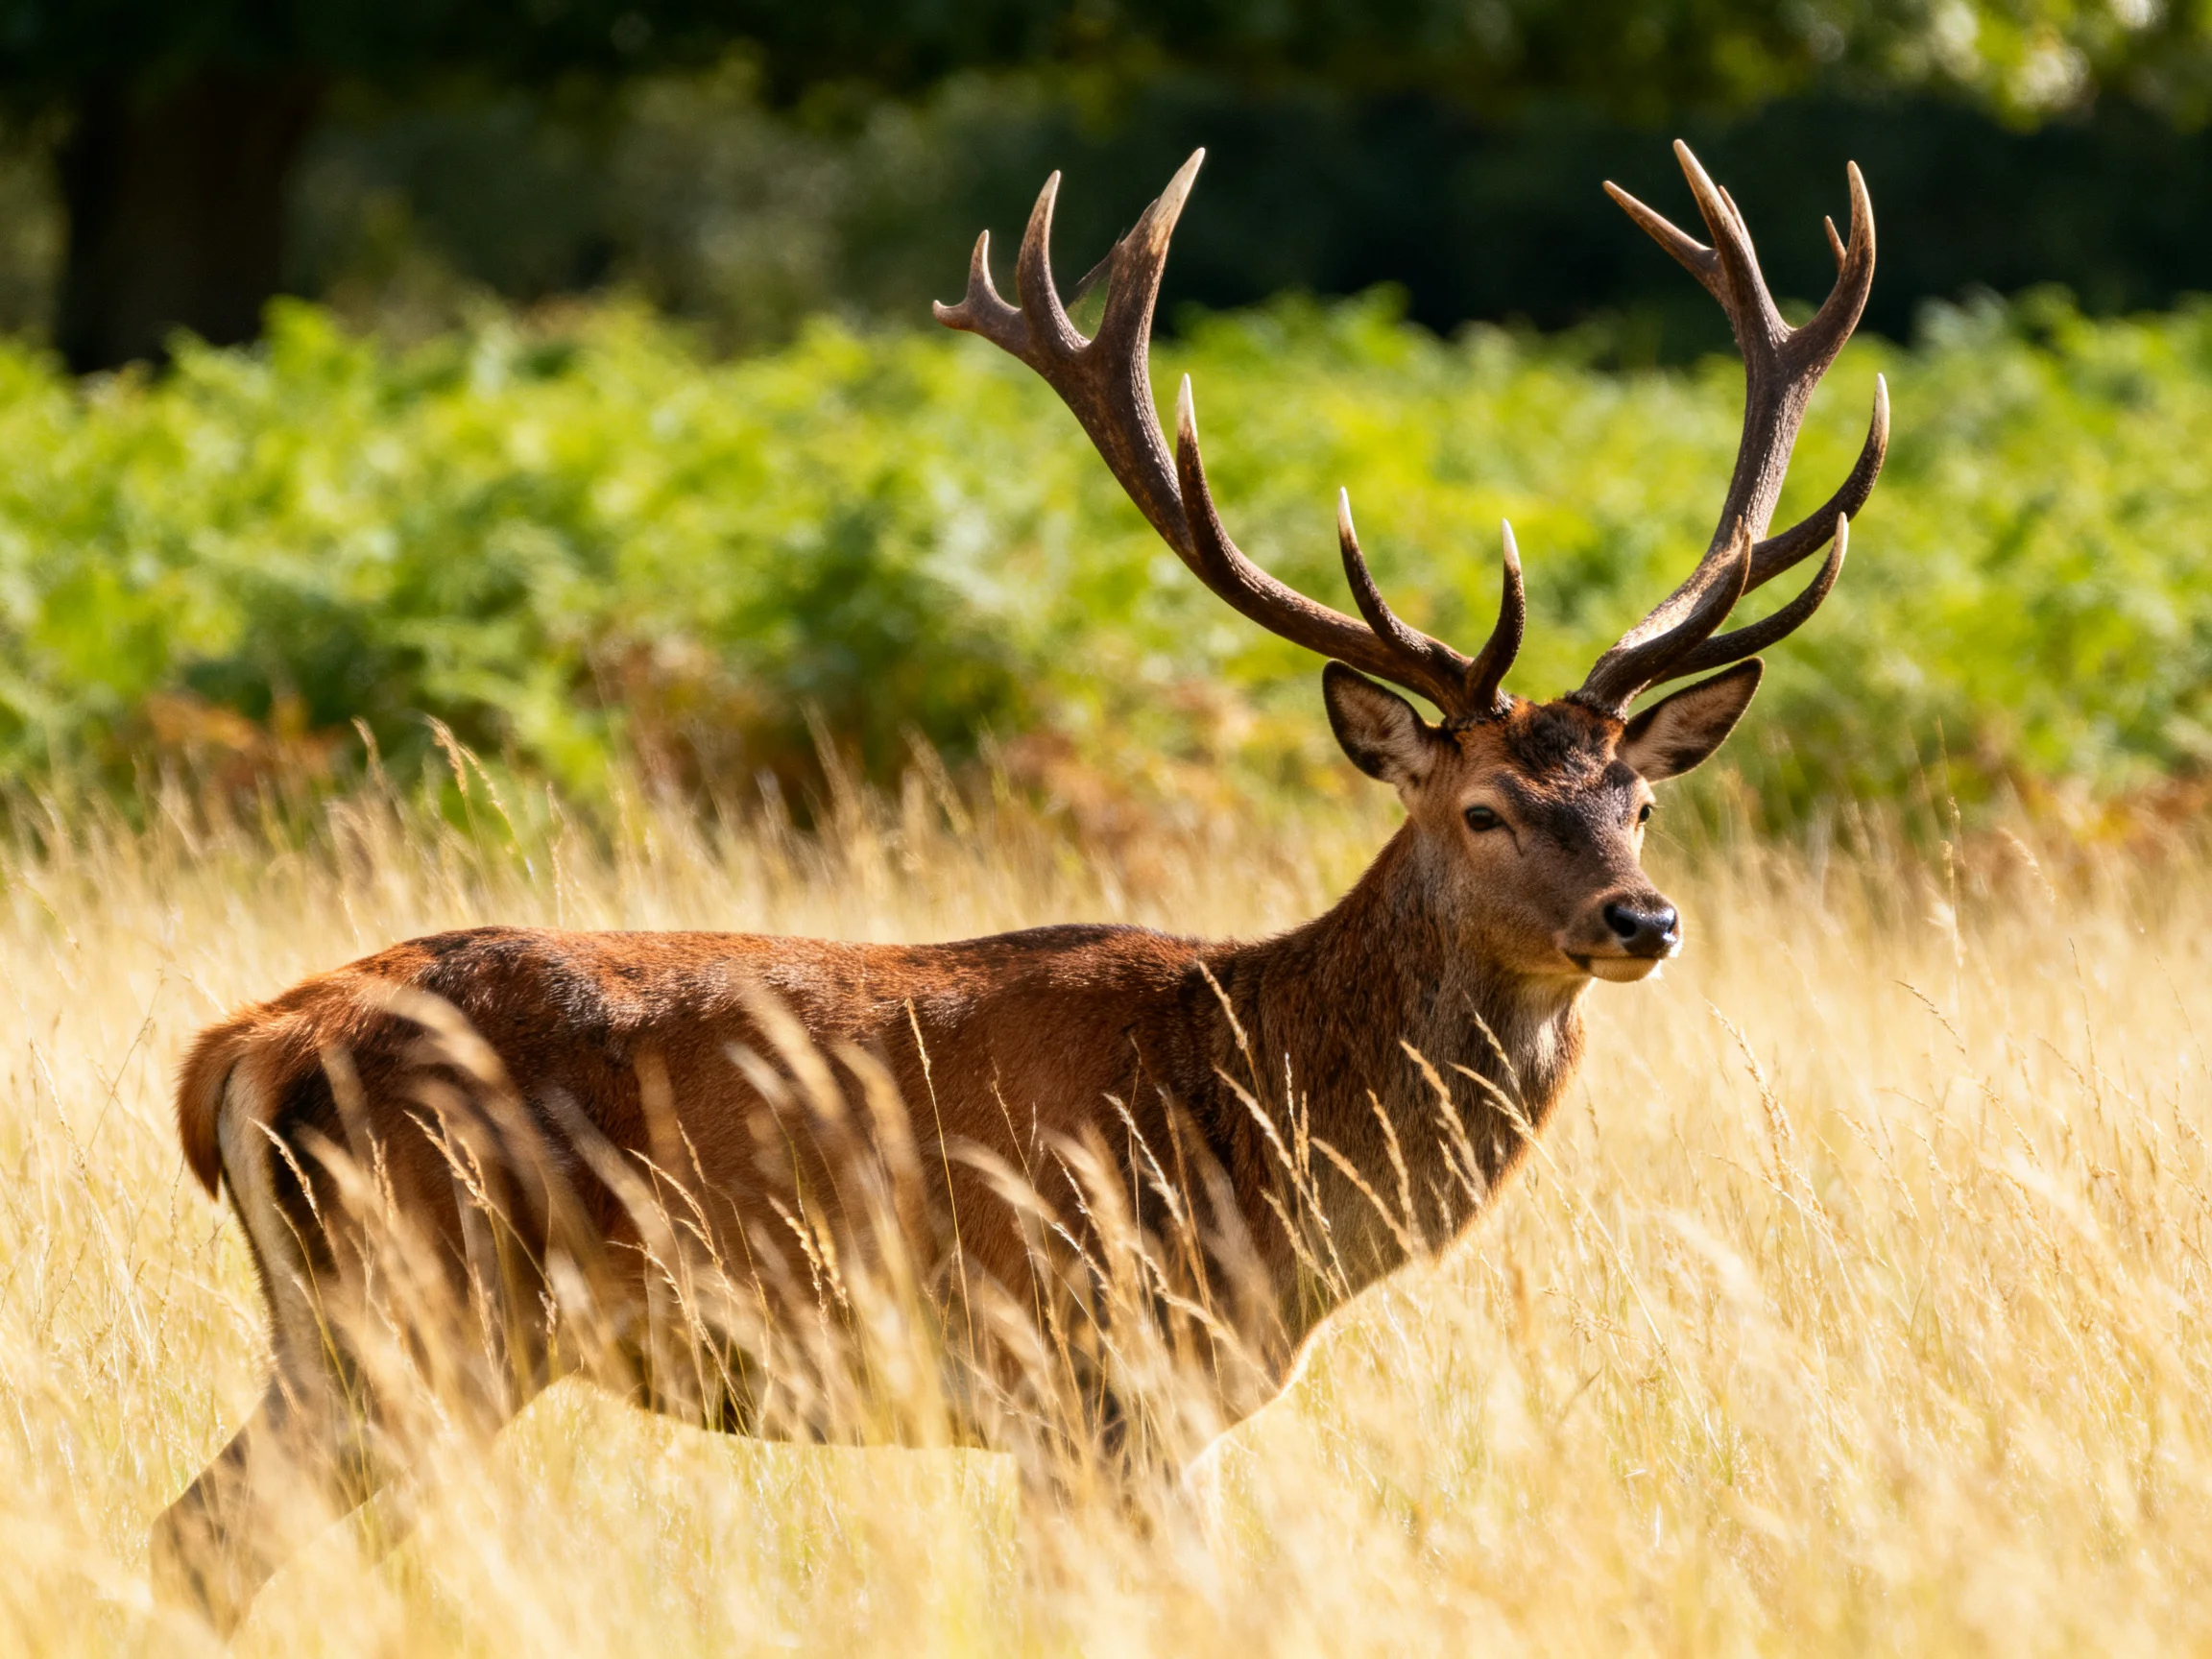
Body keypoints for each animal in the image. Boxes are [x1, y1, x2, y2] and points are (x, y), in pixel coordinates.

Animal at [150, 140, 1883, 1634]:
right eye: (1482, 807)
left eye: (1638, 799)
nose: (1639, 918)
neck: (1260, 1126)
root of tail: (231, 1051)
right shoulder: (1083, 1364)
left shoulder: (1159, 1405)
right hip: (422, 1303)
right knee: (224, 1534)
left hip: (361, 1326)